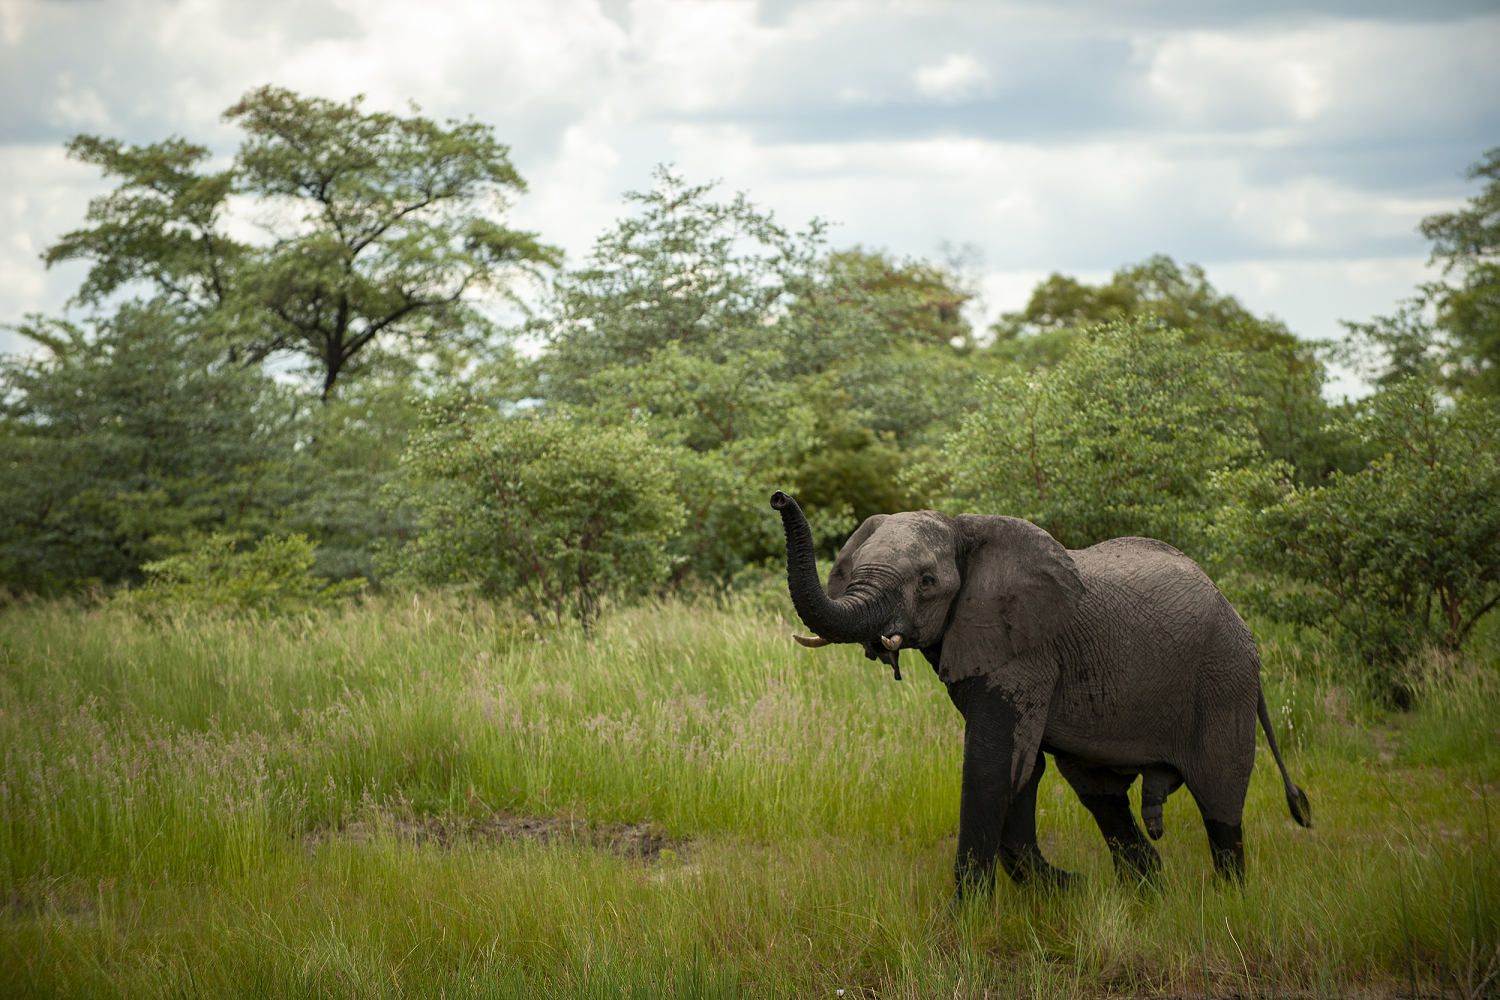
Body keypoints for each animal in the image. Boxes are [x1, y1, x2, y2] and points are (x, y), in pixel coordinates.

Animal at [768, 491, 1308, 899]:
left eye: (927, 582)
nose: (778, 497)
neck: (965, 530)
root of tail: (1235, 613)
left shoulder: (1026, 651)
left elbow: (995, 762)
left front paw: (965, 920)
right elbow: (1023, 766)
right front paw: (1064, 889)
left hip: (1224, 679)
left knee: (1219, 797)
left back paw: (1229, 901)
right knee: (1101, 794)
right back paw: (1146, 891)